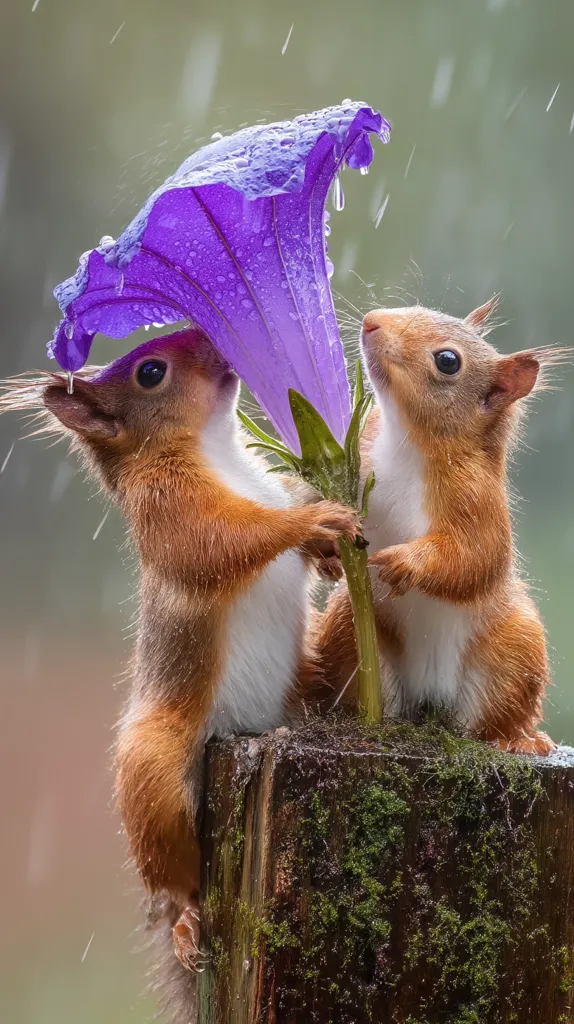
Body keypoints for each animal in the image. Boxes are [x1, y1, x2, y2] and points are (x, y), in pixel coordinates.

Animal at [0, 327, 358, 982]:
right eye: (150, 373)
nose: (210, 338)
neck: (217, 449)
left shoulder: (263, 485)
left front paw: (328, 554)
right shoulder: (169, 509)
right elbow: (219, 542)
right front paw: (312, 520)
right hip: (156, 770)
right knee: (175, 876)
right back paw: (188, 918)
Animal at [316, 298, 568, 755]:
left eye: (448, 361)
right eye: (419, 306)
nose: (371, 321)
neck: (406, 441)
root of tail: (430, 696)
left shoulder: (478, 500)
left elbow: (475, 558)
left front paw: (405, 561)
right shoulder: (362, 453)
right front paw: (325, 548)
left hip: (515, 650)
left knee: (491, 721)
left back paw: (516, 741)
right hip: (349, 632)